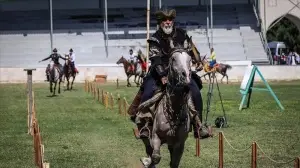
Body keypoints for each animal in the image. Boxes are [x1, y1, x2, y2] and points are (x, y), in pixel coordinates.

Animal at [139, 38, 193, 167]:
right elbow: (155, 157)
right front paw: (148, 161)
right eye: (173, 59)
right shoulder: (156, 136)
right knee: (148, 146)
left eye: (190, 59)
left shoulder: (179, 144)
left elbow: (174, 163)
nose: (185, 78)